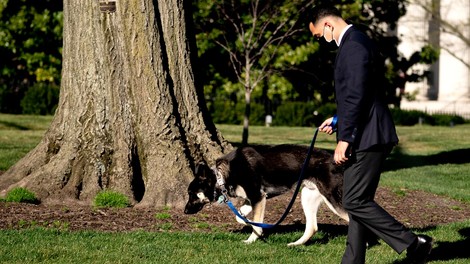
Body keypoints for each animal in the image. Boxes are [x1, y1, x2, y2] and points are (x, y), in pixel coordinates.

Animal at [184, 144, 348, 245]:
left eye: (192, 194)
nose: (184, 211)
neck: (223, 175)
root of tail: (337, 161)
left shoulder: (257, 197)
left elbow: (255, 223)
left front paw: (251, 239)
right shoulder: (252, 199)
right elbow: (240, 217)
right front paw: (251, 224)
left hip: (332, 199)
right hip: (307, 196)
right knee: (312, 227)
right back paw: (295, 244)